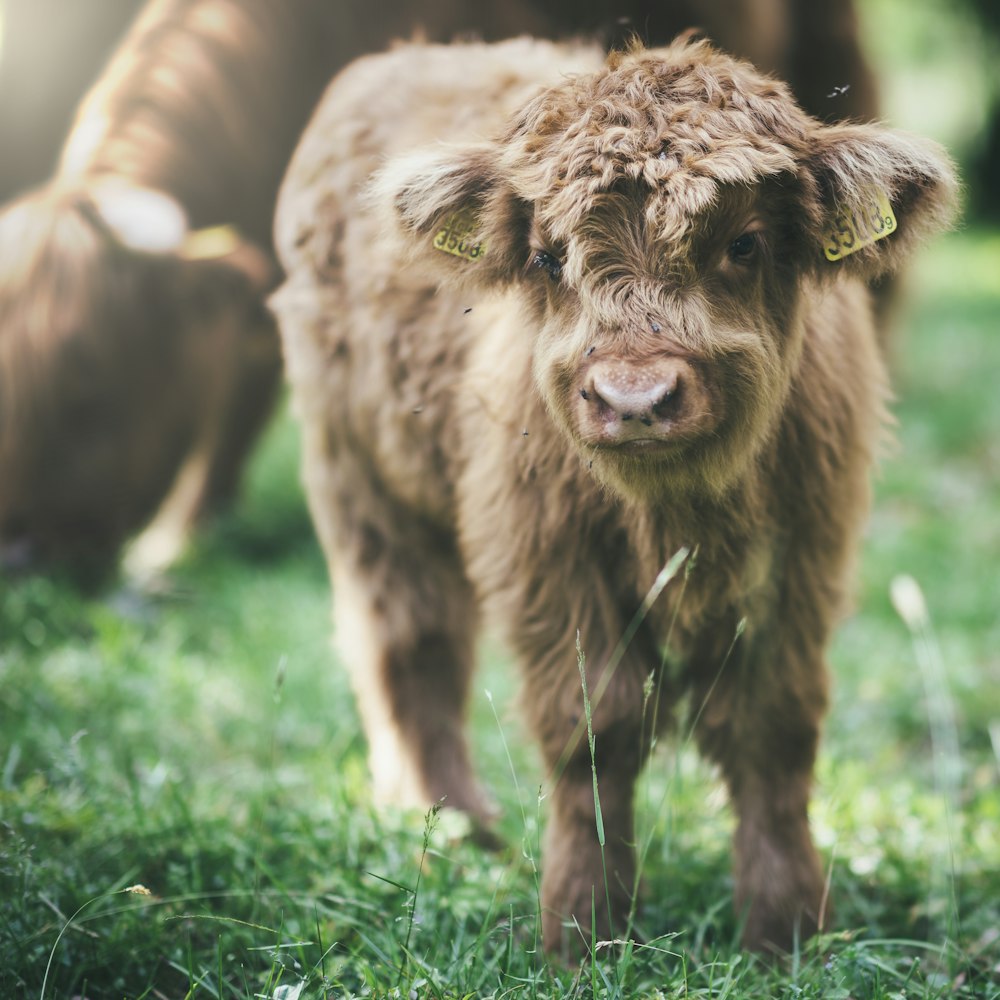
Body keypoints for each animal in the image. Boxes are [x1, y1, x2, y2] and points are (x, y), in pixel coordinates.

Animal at [272, 37, 952, 952]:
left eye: (744, 243)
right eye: (549, 254)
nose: (634, 399)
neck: (681, 515)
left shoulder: (802, 559)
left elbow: (771, 728)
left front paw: (785, 928)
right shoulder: (546, 561)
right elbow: (593, 728)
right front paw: (582, 927)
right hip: (361, 479)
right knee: (410, 640)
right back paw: (452, 826)